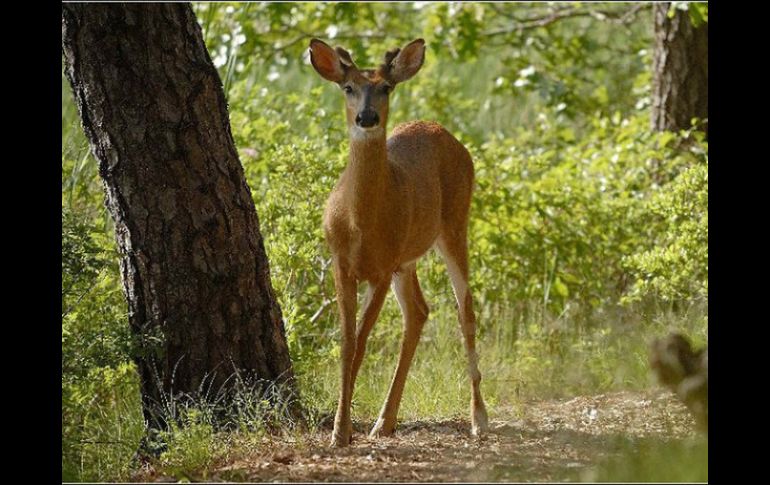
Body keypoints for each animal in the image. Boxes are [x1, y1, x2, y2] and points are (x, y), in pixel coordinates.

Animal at [306, 36, 486, 446]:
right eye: (348, 87)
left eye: (386, 87)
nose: (367, 118)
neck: (360, 225)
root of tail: (442, 130)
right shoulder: (341, 262)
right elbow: (347, 344)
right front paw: (341, 430)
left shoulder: (381, 269)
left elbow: (359, 343)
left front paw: (342, 430)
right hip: (407, 257)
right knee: (419, 311)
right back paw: (384, 422)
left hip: (454, 224)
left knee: (465, 310)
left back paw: (479, 419)